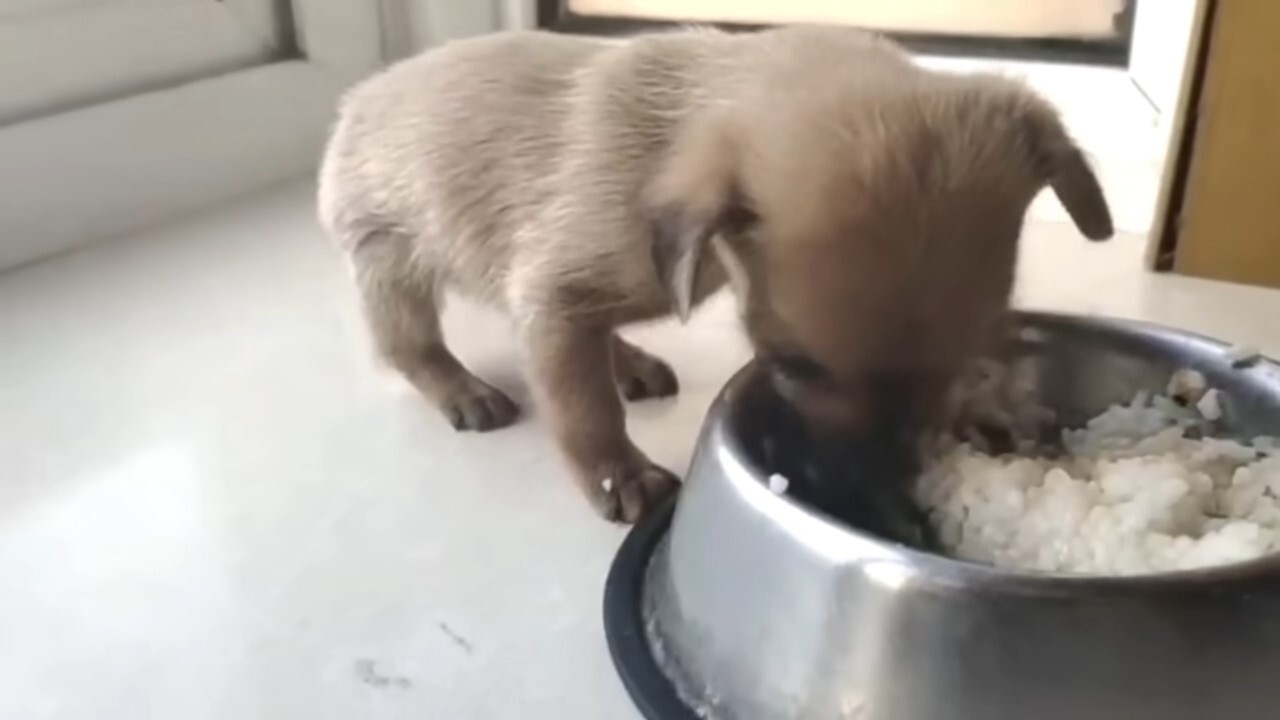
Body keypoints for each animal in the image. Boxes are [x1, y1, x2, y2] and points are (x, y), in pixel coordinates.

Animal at [320, 26, 1111, 520]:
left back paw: (631, 361)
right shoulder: (554, 297)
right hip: (388, 256)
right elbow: (583, 407)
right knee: (408, 344)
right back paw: (461, 388)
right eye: (791, 368)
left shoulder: (563, 304)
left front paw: (985, 408)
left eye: (965, 357)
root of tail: (359, 98)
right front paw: (618, 472)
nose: (875, 490)